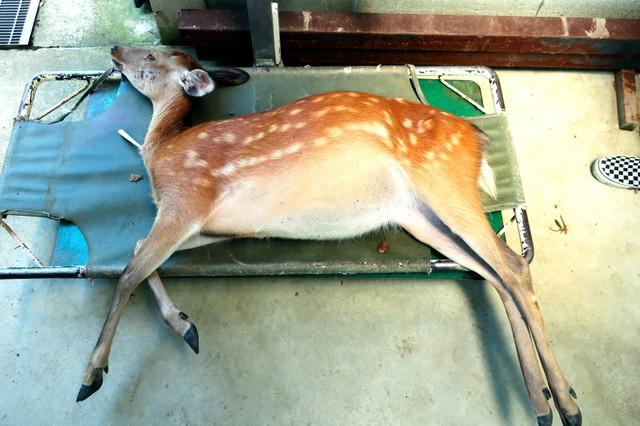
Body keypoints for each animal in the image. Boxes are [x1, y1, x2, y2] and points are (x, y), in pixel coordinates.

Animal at [77, 46, 581, 425]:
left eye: (152, 53)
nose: (115, 49)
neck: (162, 154)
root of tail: (477, 137)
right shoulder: (208, 226)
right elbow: (138, 255)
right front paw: (185, 326)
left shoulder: (186, 200)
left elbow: (127, 272)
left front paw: (92, 374)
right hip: (418, 215)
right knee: (493, 275)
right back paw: (540, 402)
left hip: (444, 181)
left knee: (512, 265)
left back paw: (566, 402)